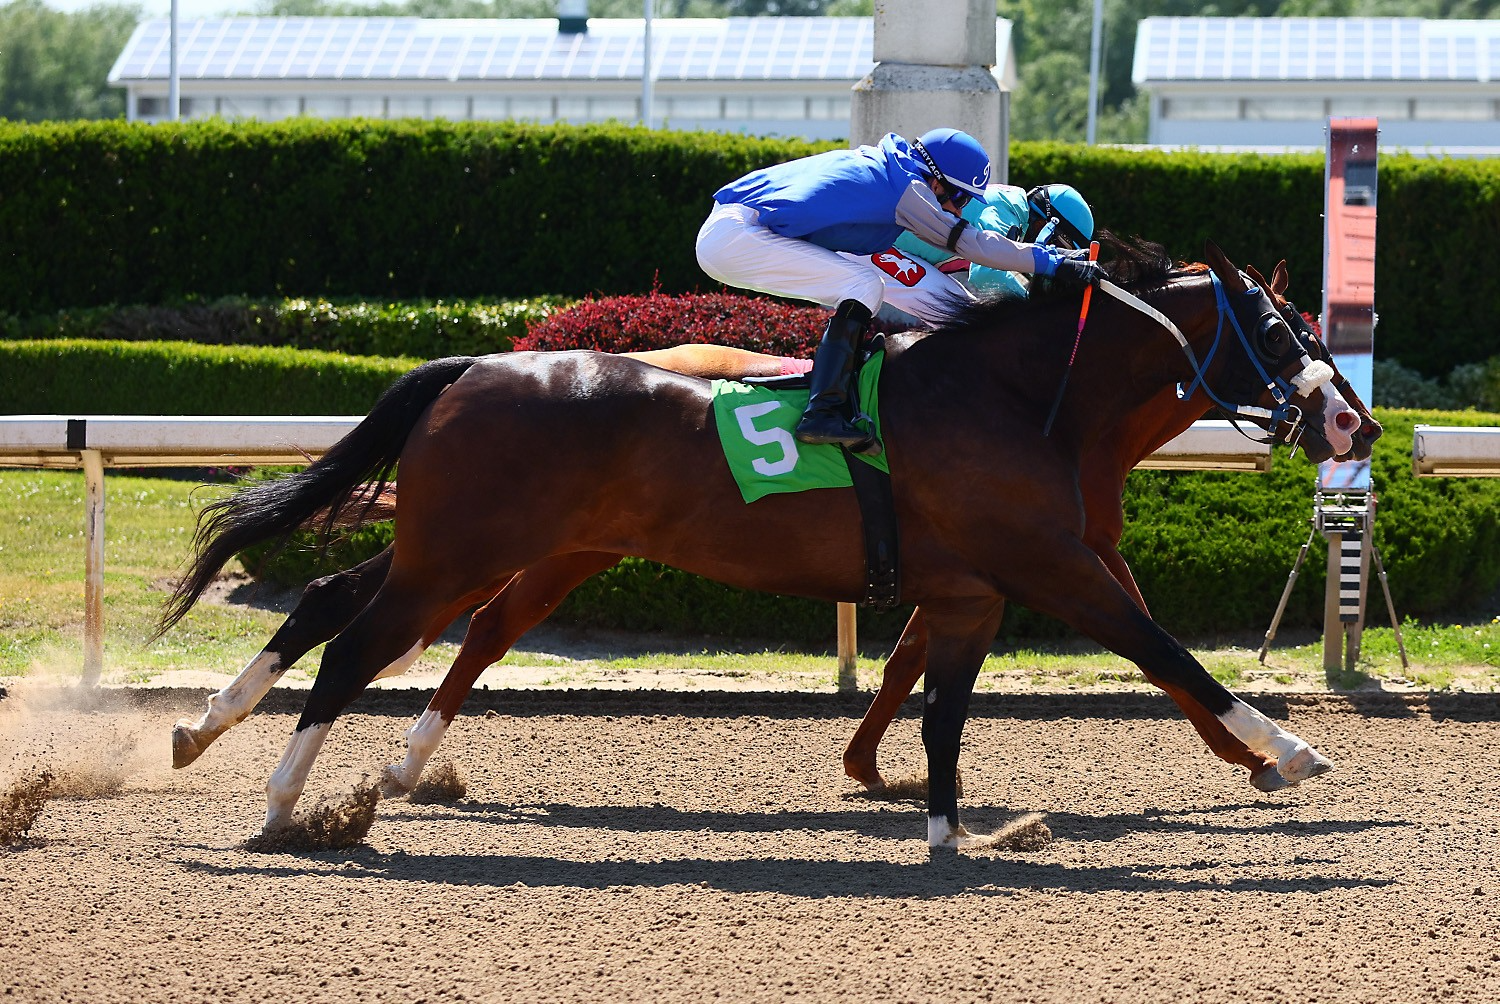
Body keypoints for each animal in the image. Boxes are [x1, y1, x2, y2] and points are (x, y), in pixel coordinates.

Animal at [161, 240, 1362, 846]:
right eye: (1279, 331)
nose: (1357, 422)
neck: (1019, 394)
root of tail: (480, 364)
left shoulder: (991, 580)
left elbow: (949, 698)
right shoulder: (1051, 562)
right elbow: (1168, 652)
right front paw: (1290, 748)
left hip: (462, 545)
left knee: (333, 598)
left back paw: (203, 729)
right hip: (464, 552)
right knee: (362, 644)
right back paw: (288, 801)